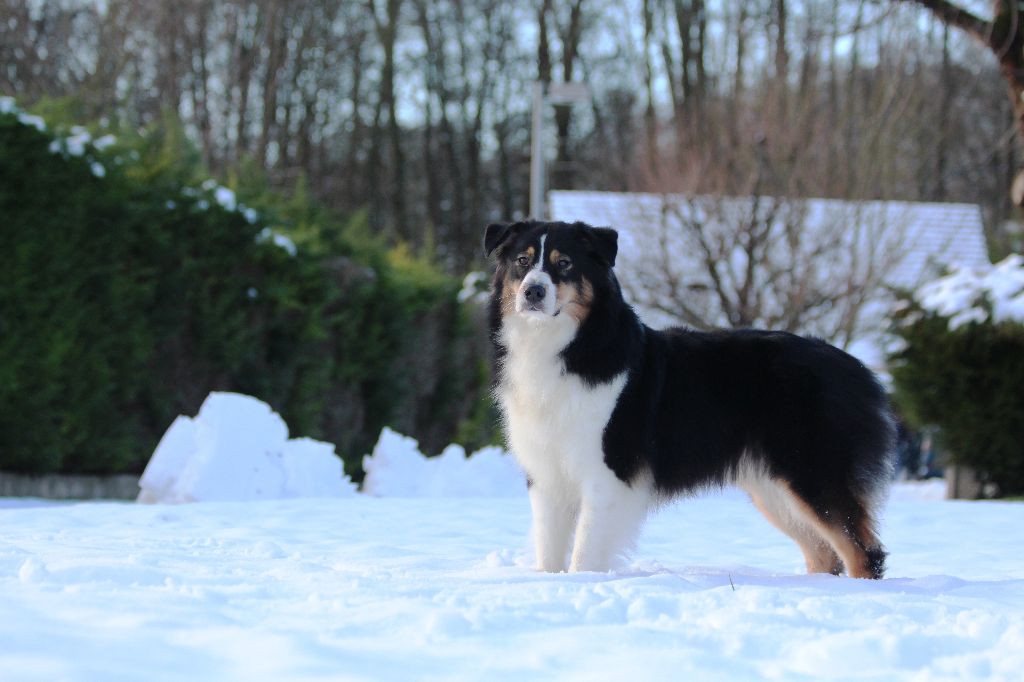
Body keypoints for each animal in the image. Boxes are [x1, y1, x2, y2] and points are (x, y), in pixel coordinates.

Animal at [483, 220, 892, 577]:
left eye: (564, 263)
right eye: (522, 261)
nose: (533, 292)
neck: (567, 345)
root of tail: (859, 370)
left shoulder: (607, 472)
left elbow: (585, 553)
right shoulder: (546, 473)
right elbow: (549, 549)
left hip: (812, 471)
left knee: (864, 552)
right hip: (774, 487)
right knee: (824, 553)